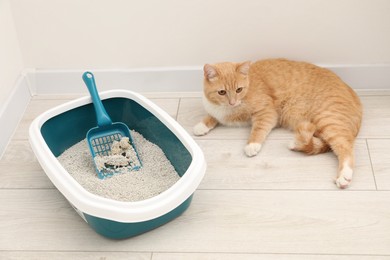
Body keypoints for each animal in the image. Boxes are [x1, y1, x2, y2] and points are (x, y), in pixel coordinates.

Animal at [194, 58, 362, 189]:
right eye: (222, 92)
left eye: (239, 89)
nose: (232, 102)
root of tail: (356, 96)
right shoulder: (218, 112)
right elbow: (212, 117)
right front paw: (201, 125)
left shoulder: (267, 112)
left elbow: (258, 129)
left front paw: (252, 145)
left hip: (328, 119)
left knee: (345, 147)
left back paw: (344, 176)